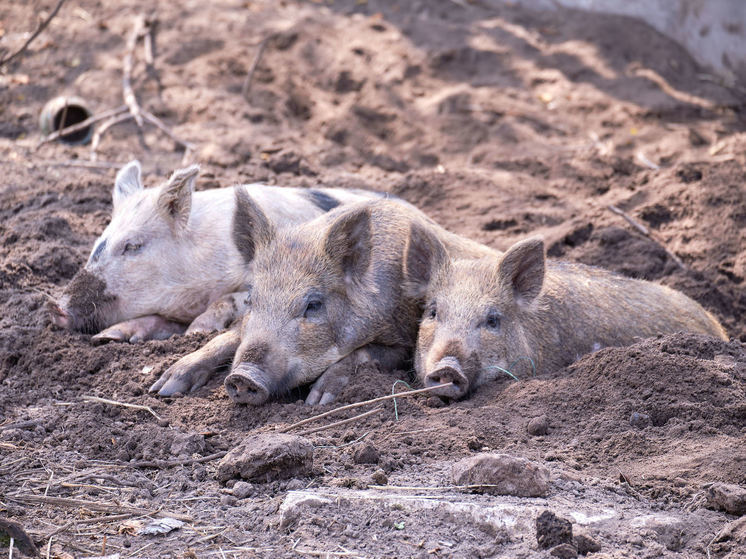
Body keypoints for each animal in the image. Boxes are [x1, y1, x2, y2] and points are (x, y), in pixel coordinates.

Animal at [50, 160, 384, 344]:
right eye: (98, 242)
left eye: (133, 246)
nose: (58, 307)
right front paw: (109, 337)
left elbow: (229, 300)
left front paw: (195, 333)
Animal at [150, 196, 494, 402]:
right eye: (251, 298)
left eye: (313, 305)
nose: (242, 376)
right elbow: (225, 339)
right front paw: (163, 387)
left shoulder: (404, 342)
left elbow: (359, 355)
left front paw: (318, 400)